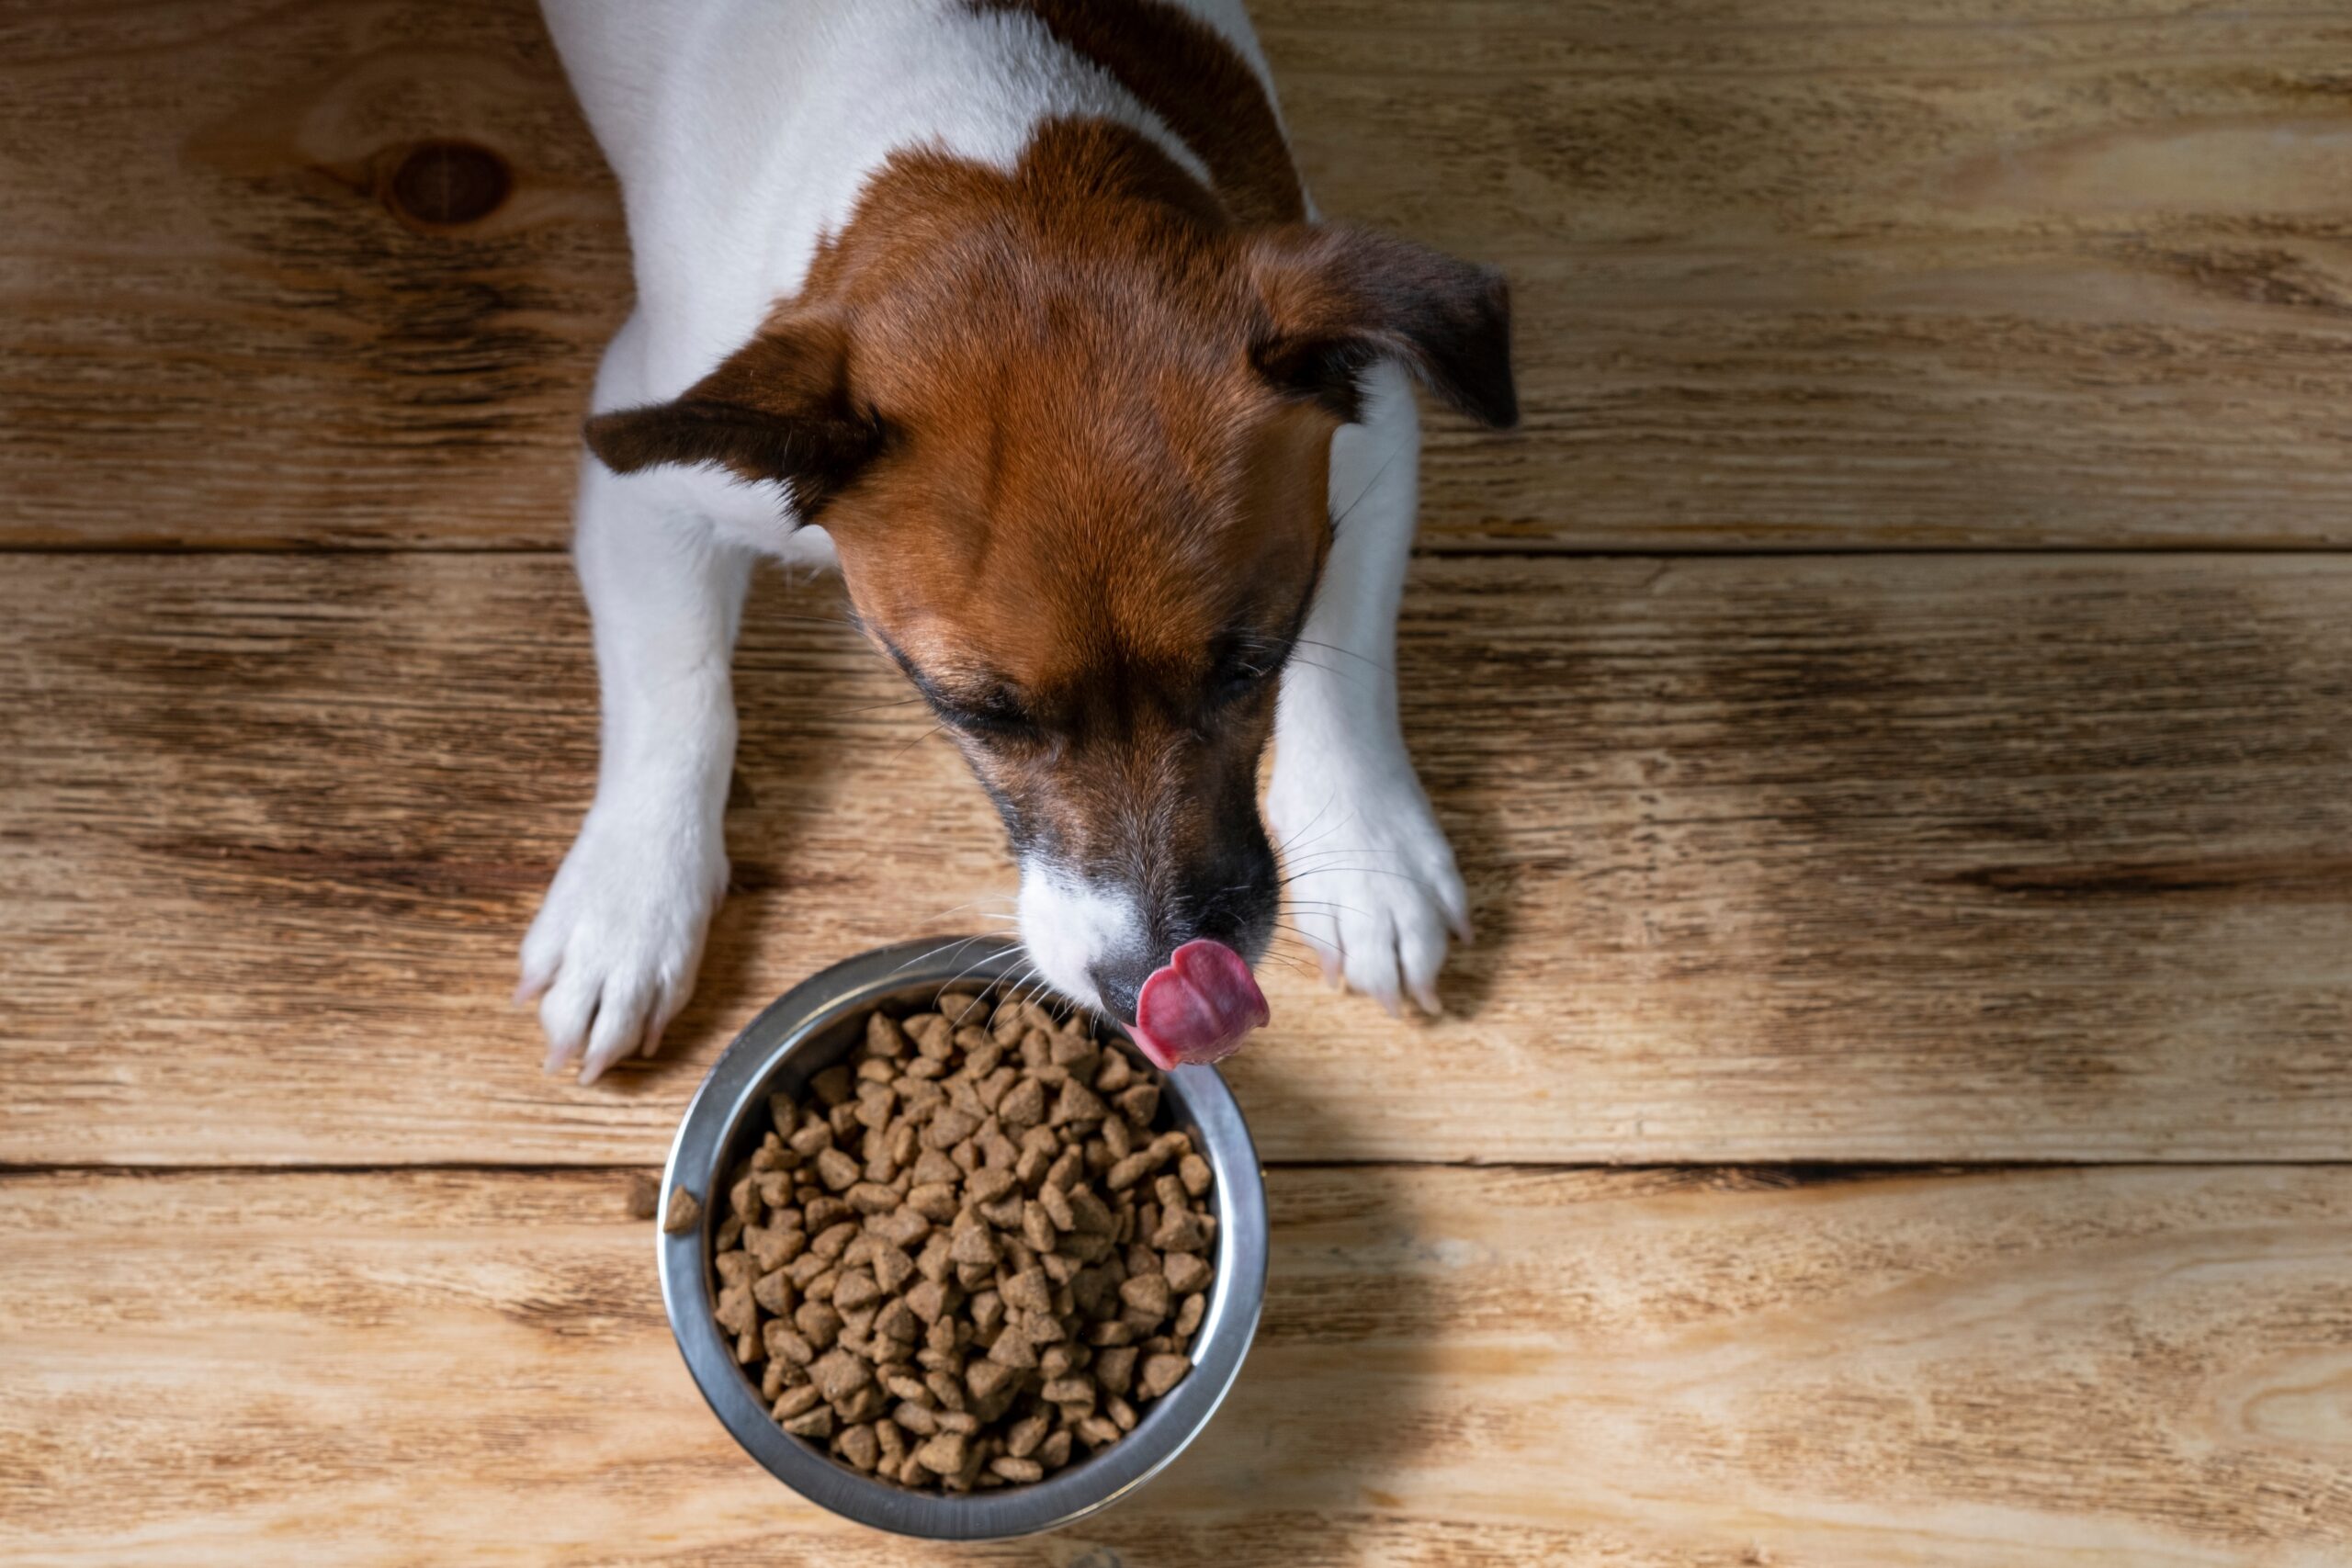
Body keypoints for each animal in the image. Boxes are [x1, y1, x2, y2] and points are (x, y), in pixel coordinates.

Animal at [522, 0, 1514, 1081]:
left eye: (1251, 665)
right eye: (976, 711)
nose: (1152, 977)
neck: (1003, 151)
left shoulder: (1372, 432)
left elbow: (1348, 661)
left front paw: (1370, 845)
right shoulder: (649, 480)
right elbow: (679, 688)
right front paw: (632, 899)